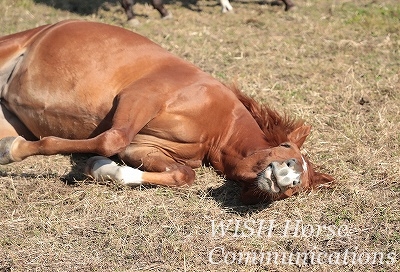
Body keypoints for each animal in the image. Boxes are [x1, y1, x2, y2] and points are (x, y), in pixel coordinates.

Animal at [0, 19, 332, 204]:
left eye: (299, 188)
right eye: (286, 148)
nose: (290, 177)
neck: (218, 129)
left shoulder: (145, 148)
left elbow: (182, 175)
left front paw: (102, 169)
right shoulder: (140, 97)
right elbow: (111, 139)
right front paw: (13, 151)